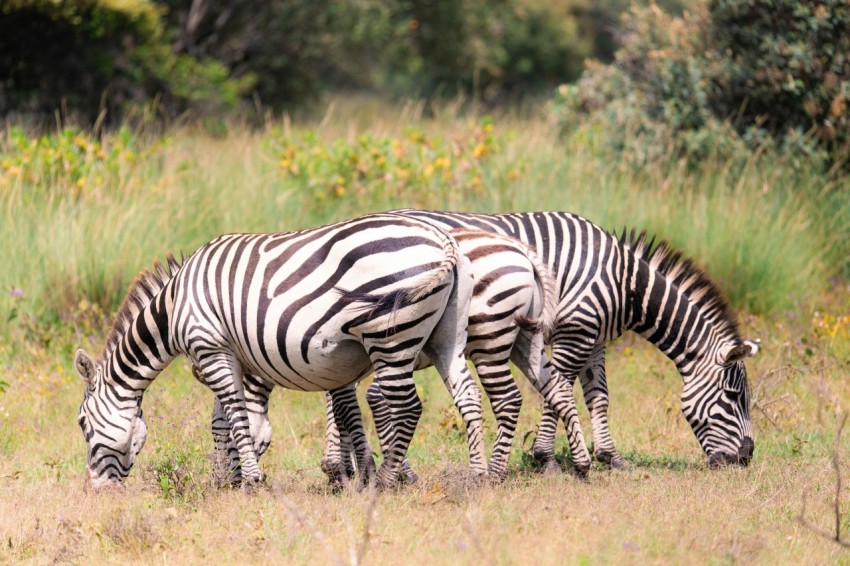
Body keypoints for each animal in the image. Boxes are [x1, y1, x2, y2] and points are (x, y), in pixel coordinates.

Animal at [74, 215, 490, 490]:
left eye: (81, 423)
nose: (97, 491)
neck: (177, 304)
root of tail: (443, 241)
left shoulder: (210, 347)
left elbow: (236, 416)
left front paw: (249, 481)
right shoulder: (230, 355)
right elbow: (223, 420)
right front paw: (223, 480)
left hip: (389, 338)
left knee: (408, 407)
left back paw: (387, 482)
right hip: (446, 337)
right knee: (468, 396)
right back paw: (480, 476)